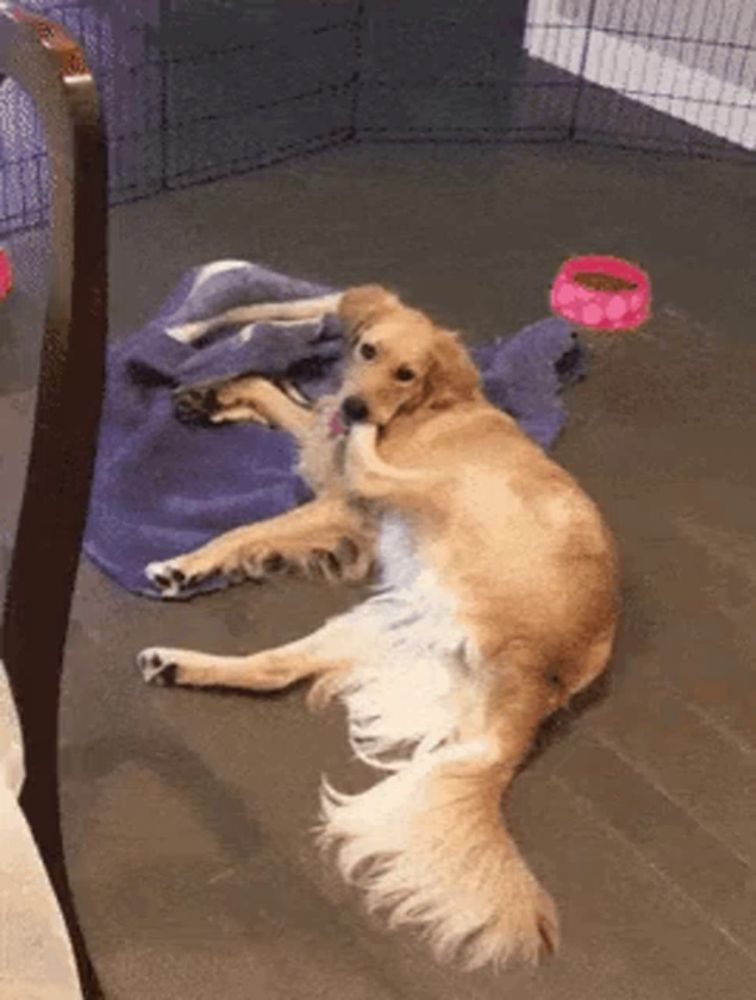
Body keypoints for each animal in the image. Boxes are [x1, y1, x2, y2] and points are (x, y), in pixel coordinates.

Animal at [139, 286, 616, 972]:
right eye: (367, 350)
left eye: (407, 373)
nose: (358, 405)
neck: (432, 406)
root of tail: (543, 676)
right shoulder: (328, 448)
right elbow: (279, 396)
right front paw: (215, 395)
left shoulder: (342, 502)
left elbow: (248, 527)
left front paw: (188, 562)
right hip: (375, 623)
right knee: (274, 669)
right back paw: (172, 662)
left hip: (446, 492)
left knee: (373, 470)